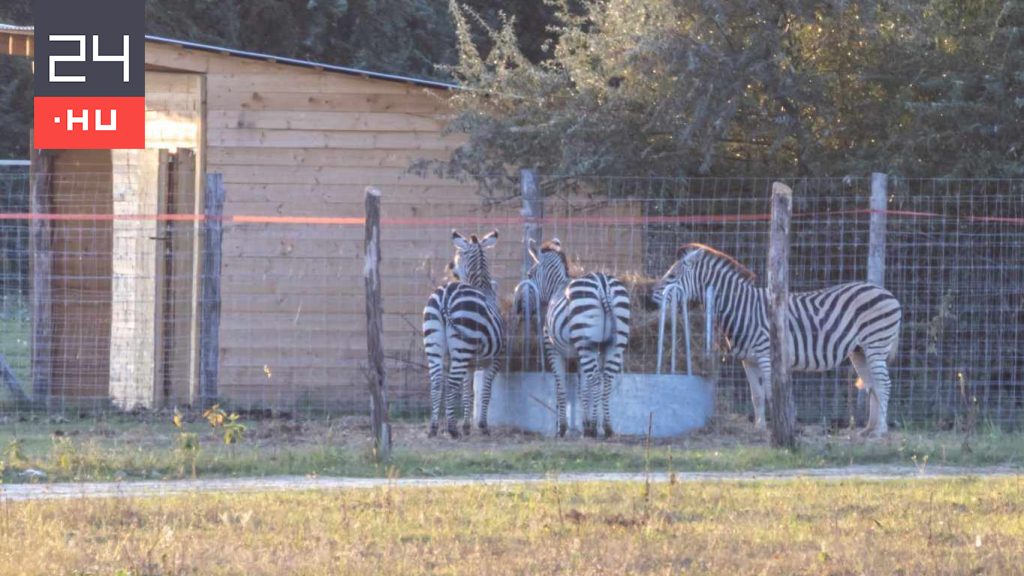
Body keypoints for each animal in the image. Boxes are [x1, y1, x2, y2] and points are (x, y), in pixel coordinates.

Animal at [421, 228, 505, 434]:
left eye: (458, 255)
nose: (450, 267)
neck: (482, 287)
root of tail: (445, 296)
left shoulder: (471, 363)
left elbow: (468, 391)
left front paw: (467, 426)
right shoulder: (496, 358)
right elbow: (485, 391)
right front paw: (482, 426)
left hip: (435, 343)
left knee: (437, 381)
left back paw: (434, 427)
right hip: (461, 347)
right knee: (451, 383)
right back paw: (452, 429)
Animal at [528, 237, 630, 434]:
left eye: (529, 275)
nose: (527, 307)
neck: (556, 287)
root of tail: (603, 283)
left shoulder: (553, 349)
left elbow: (561, 387)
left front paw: (563, 428)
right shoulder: (582, 353)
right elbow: (583, 389)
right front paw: (586, 422)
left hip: (585, 342)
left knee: (596, 379)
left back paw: (594, 430)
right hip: (613, 344)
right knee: (606, 379)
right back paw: (607, 427)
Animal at [651, 241, 901, 434]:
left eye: (672, 275)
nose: (649, 297)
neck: (743, 308)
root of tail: (889, 294)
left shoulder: (765, 355)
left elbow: (772, 394)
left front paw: (776, 429)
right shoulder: (748, 360)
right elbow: (757, 396)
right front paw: (759, 428)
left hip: (876, 344)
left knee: (884, 383)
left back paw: (881, 431)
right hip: (859, 351)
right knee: (872, 385)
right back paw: (868, 429)